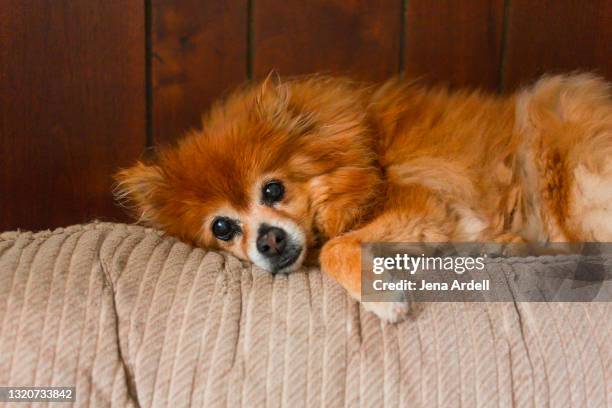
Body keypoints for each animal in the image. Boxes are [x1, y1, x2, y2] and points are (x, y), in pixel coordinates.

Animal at [116, 73, 612, 322]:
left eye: (273, 189)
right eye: (222, 227)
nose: (269, 240)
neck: (365, 152)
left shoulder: (423, 204)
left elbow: (335, 248)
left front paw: (382, 296)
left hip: (552, 132)